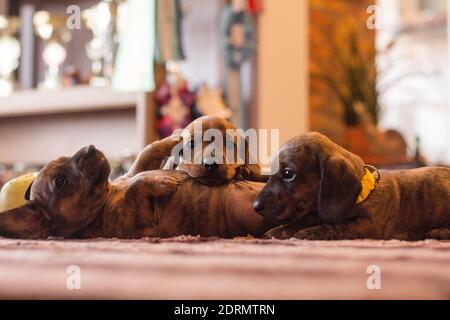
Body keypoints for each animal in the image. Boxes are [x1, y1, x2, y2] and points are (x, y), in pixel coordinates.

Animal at [0, 146, 268, 239]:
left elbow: (145, 155)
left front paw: (173, 138)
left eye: (65, 156)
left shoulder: (129, 172)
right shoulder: (141, 220)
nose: (90, 148)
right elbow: (137, 186)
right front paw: (163, 179)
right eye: (60, 181)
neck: (107, 196)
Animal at [253, 131, 450, 240]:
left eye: (288, 174)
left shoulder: (367, 225)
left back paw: (440, 232)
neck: (363, 193)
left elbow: (338, 226)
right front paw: (281, 230)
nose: (255, 206)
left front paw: (311, 232)